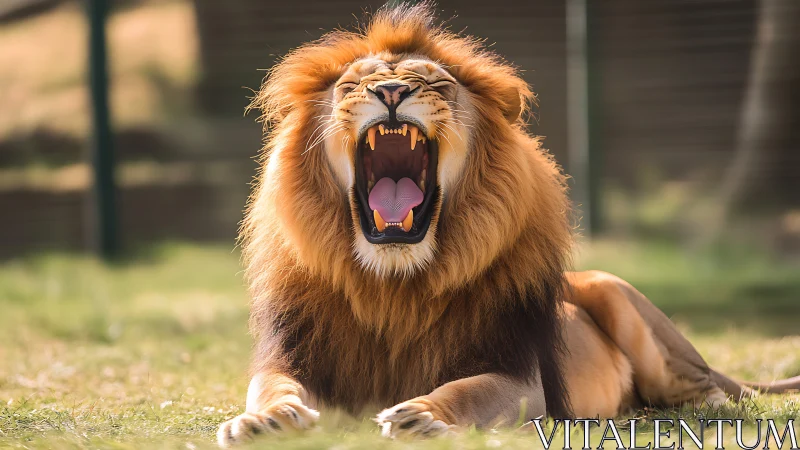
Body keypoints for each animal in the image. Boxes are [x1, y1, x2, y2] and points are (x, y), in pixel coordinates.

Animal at [217, 3, 800, 446]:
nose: (391, 93)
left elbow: (468, 390)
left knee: (703, 388)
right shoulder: (295, 355)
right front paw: (264, 420)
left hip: (622, 301)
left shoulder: (520, 377)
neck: (394, 284)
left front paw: (422, 415)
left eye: (434, 84)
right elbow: (272, 387)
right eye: (353, 85)